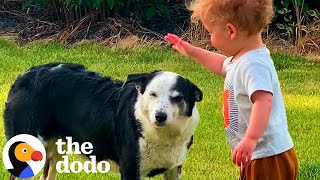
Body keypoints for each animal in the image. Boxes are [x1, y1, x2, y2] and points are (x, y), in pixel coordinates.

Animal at [3, 62, 202, 179]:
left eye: (177, 98)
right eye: (153, 94)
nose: (160, 116)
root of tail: (26, 75)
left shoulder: (173, 168)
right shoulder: (130, 170)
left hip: (56, 151)